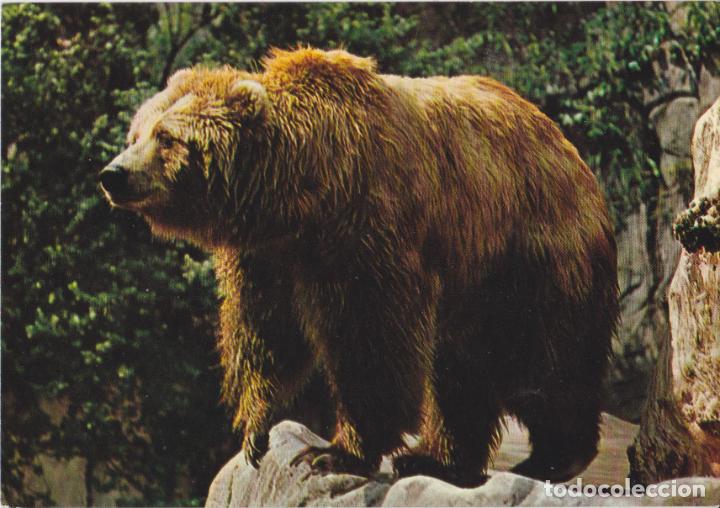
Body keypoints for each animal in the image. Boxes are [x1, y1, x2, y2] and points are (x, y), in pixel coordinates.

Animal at [100, 48, 618, 486]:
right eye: (136, 133)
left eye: (167, 138)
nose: (113, 174)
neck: (300, 193)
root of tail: (567, 149)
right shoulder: (269, 255)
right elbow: (266, 332)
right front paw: (256, 428)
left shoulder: (367, 234)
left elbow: (371, 341)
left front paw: (335, 452)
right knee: (461, 371)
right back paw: (437, 459)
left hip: (529, 256)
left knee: (542, 358)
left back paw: (552, 456)